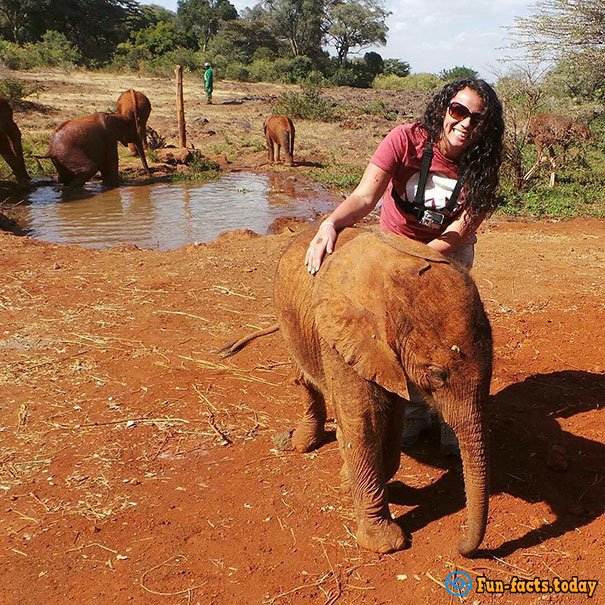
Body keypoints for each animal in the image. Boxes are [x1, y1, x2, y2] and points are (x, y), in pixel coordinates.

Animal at [272, 225, 490, 552]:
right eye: (437, 375)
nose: (460, 546)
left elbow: (392, 416)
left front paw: (360, 483)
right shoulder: (342, 340)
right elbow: (365, 421)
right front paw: (386, 544)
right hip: (289, 321)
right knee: (305, 380)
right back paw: (299, 443)